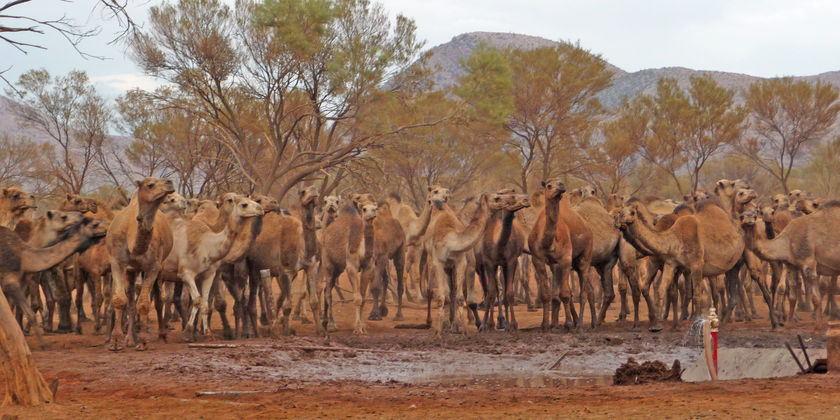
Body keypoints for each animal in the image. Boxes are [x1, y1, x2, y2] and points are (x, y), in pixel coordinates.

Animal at [106, 177, 176, 352]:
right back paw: (130, 339)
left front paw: (143, 341)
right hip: (131, 272)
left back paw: (161, 336)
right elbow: (120, 300)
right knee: (131, 301)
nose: (170, 182)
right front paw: (115, 342)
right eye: (150, 185)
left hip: (159, 268)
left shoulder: (153, 267)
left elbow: (144, 303)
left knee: (158, 300)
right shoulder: (117, 262)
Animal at [318, 200, 378, 334]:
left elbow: (363, 298)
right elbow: (357, 298)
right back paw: (332, 325)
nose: (373, 214)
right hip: (327, 263)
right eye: (365, 209)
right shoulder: (351, 266)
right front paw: (357, 329)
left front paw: (362, 326)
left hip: (338, 268)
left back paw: (325, 322)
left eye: (375, 208)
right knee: (328, 292)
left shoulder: (369, 268)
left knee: (326, 289)